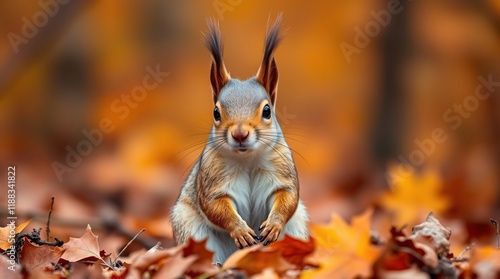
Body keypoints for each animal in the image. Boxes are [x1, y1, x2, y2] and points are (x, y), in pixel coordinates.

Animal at [170, 15, 306, 264]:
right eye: (216, 112)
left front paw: (273, 224)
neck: (247, 160)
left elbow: (288, 196)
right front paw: (240, 230)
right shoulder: (212, 181)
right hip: (189, 225)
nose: (240, 134)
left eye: (267, 111)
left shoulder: (282, 172)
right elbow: (215, 206)